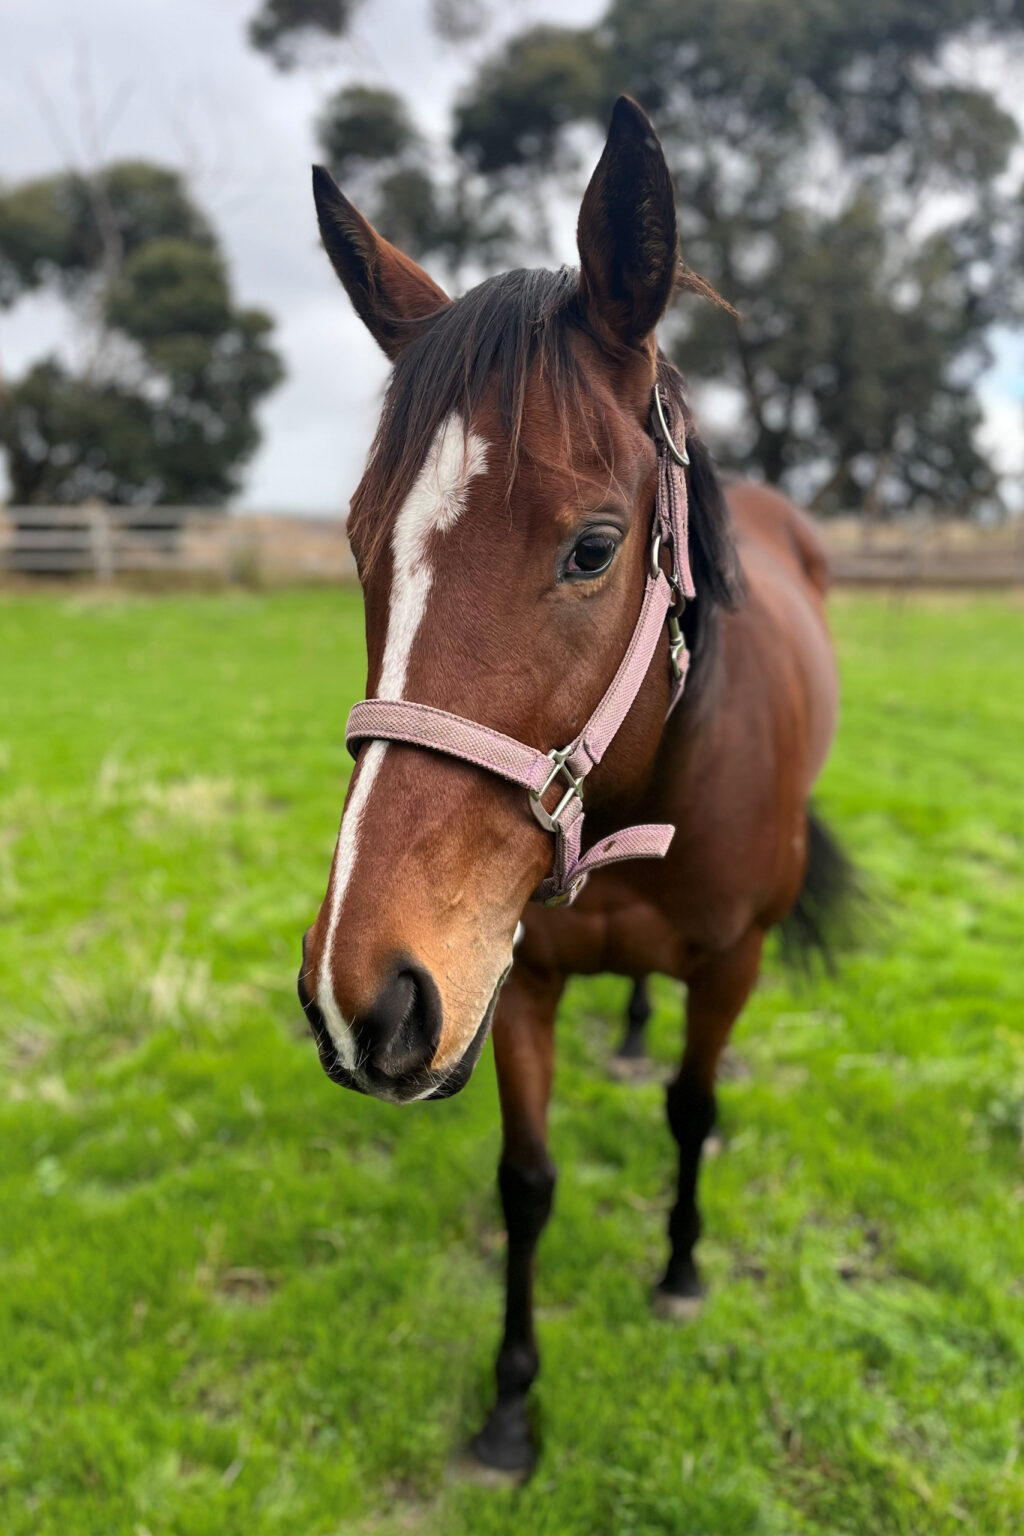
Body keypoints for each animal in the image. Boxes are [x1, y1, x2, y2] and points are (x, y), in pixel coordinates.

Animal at [298, 95, 849, 1478]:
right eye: (360, 544)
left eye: (594, 548)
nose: (357, 995)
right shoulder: (515, 982)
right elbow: (527, 1182)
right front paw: (510, 1404)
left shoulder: (734, 963)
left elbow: (693, 1112)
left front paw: (682, 1269)